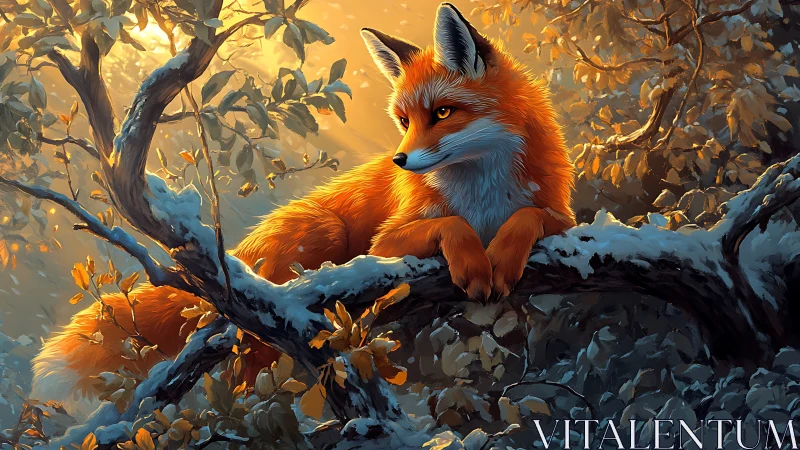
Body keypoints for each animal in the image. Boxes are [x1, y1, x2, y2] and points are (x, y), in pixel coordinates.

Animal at [31, 2, 575, 410]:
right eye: (404, 120)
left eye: (442, 113)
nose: (400, 161)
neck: (480, 189)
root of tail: (242, 248)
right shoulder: (391, 237)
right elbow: (452, 226)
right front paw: (475, 262)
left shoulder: (559, 215)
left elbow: (526, 218)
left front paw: (501, 256)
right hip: (324, 237)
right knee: (247, 363)